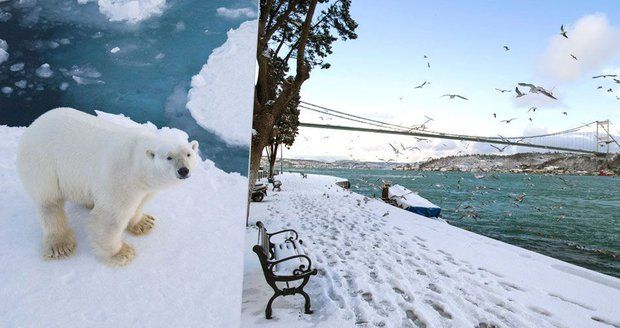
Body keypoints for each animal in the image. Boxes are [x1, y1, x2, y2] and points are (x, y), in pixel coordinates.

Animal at [15, 107, 199, 266]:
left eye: (188, 154)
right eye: (169, 157)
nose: (183, 170)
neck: (136, 162)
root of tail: (35, 123)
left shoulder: (144, 186)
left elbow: (140, 203)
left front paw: (144, 223)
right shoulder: (120, 177)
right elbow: (110, 217)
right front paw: (121, 253)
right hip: (43, 163)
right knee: (49, 202)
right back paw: (60, 245)